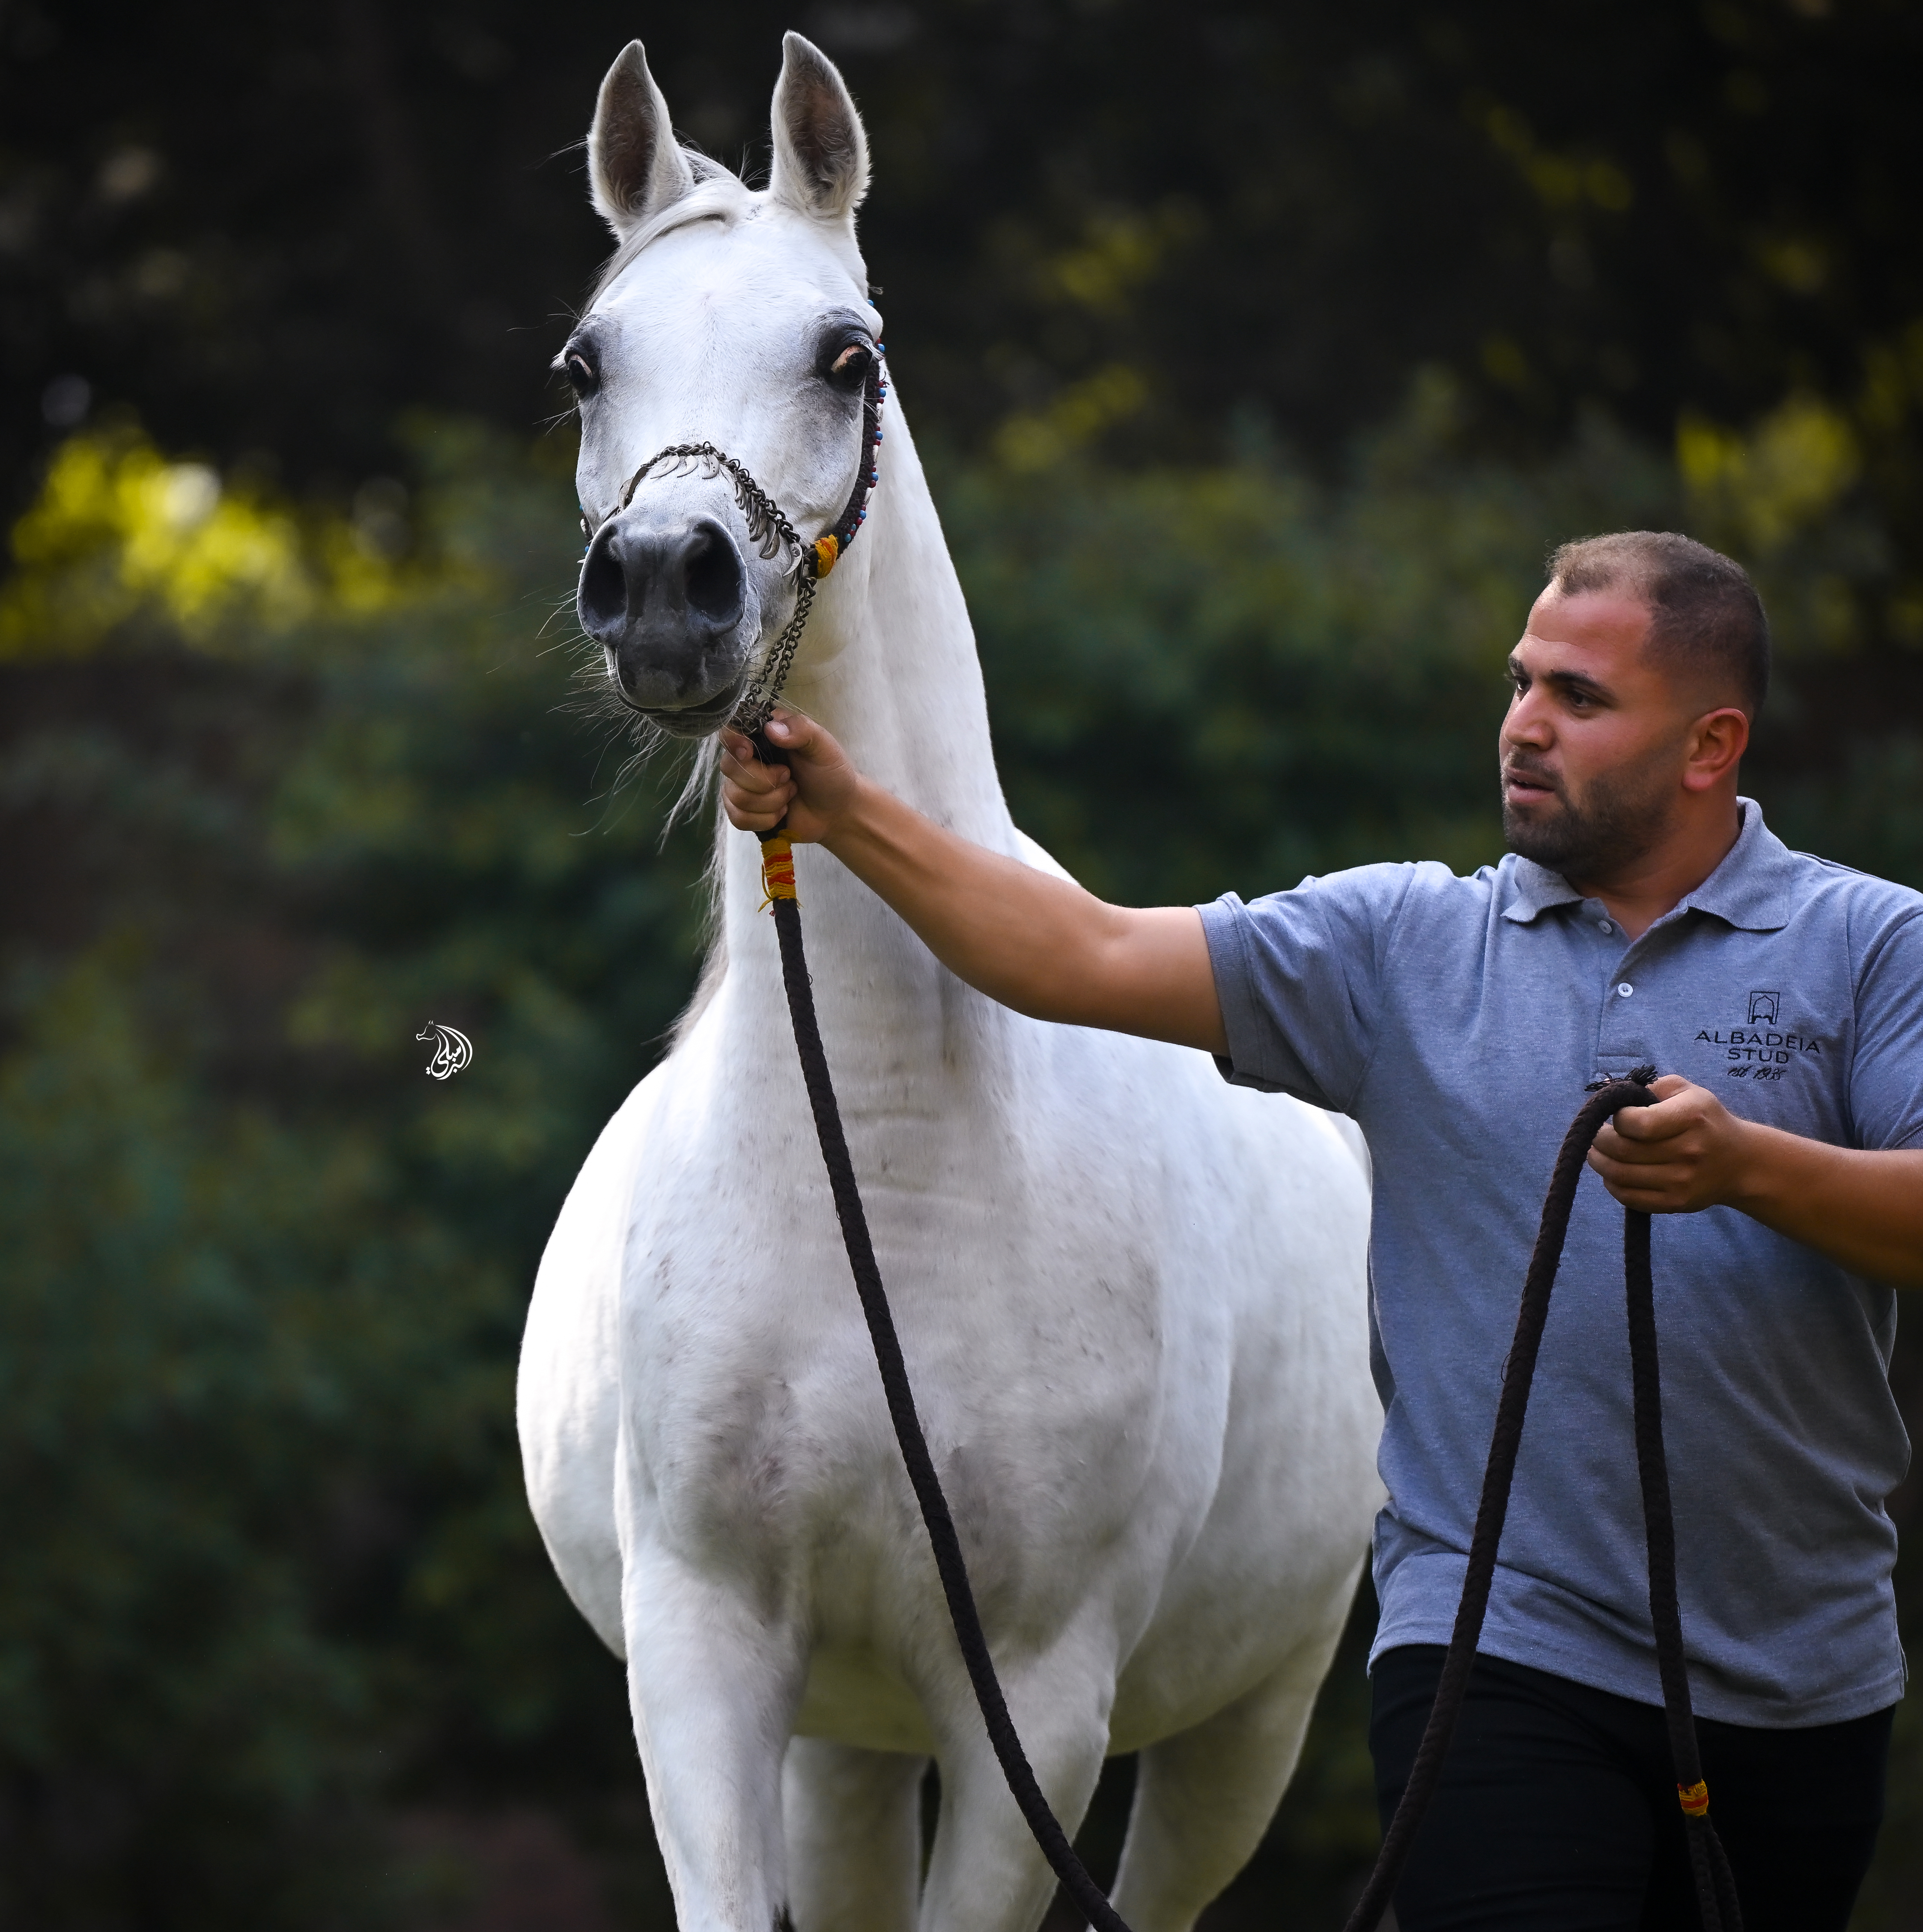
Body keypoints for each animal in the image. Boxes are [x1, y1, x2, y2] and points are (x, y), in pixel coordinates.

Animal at [517, 33, 1381, 1932]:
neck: (892, 1158)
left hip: (1240, 1727)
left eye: (846, 356)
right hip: (848, 1740)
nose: (666, 587)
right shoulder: (707, 1657)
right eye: (586, 362)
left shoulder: (1036, 1706)